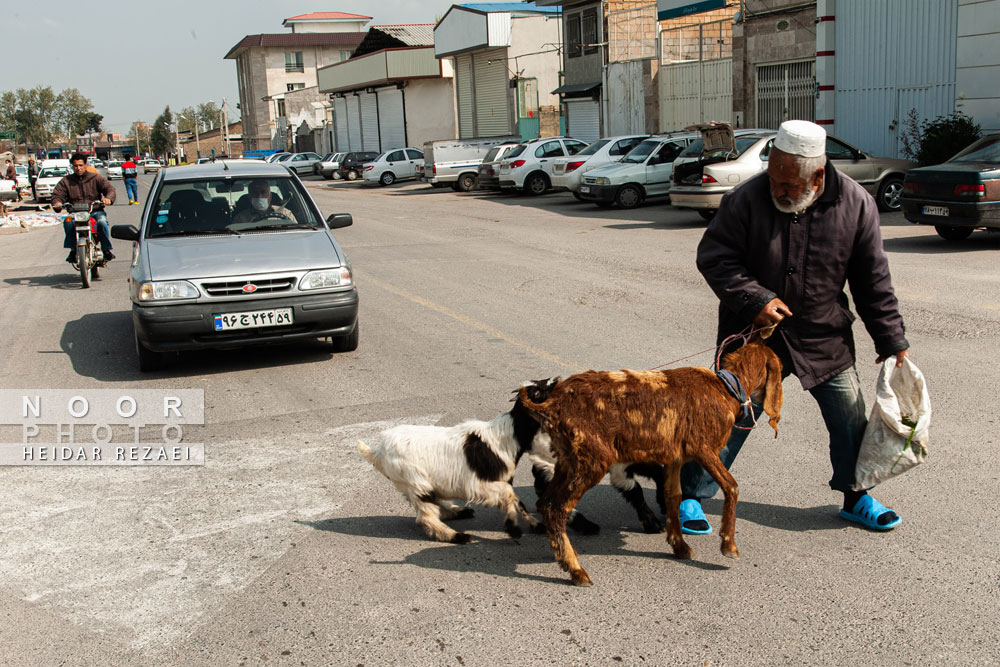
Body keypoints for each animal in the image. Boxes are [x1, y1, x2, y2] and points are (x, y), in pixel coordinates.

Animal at [520, 342, 784, 588]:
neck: (724, 388)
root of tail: (552, 404)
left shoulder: (675, 457)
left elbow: (673, 496)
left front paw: (680, 547)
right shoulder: (704, 448)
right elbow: (732, 486)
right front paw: (729, 545)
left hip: (569, 459)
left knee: (545, 503)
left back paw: (564, 554)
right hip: (591, 459)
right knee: (556, 509)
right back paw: (576, 570)